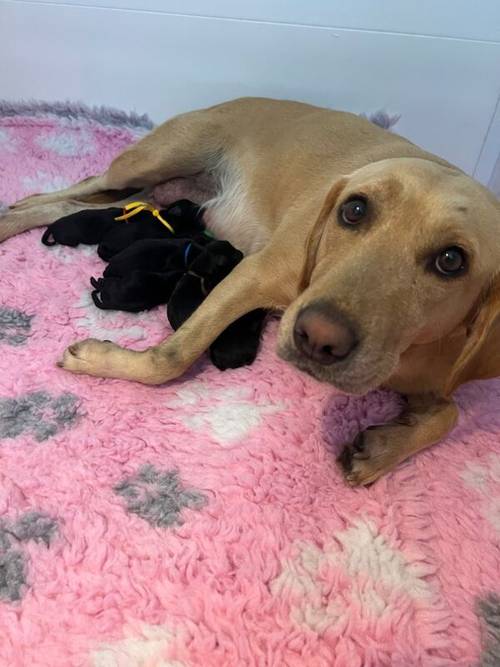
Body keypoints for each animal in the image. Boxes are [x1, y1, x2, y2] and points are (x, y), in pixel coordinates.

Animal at [0, 98, 500, 486]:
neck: (408, 349)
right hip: (149, 162)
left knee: (71, 204)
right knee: (73, 189)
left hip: (151, 196)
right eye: (354, 210)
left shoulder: (433, 374)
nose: (317, 339)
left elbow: (448, 415)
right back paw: (13, 211)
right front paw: (102, 359)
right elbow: (170, 359)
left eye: (452, 260)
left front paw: (381, 449)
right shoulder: (253, 274)